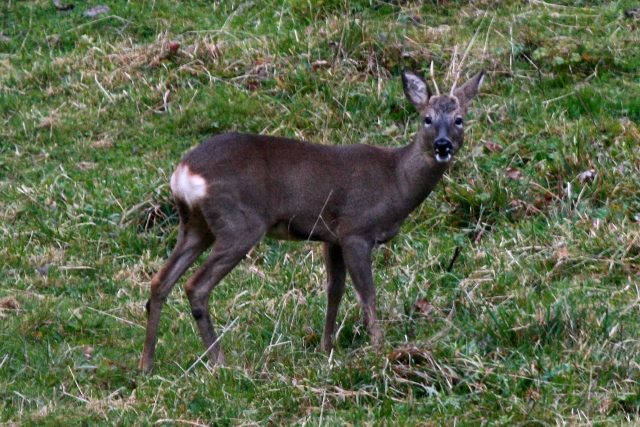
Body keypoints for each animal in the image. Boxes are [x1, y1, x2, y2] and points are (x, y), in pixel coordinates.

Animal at [138, 68, 482, 372]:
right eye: (427, 119)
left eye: (459, 119)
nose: (442, 145)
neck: (396, 181)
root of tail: (184, 173)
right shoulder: (357, 229)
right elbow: (367, 294)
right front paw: (379, 348)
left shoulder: (332, 236)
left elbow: (334, 290)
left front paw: (326, 347)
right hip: (239, 224)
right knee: (195, 286)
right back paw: (220, 362)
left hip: (196, 226)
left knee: (160, 281)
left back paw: (147, 365)